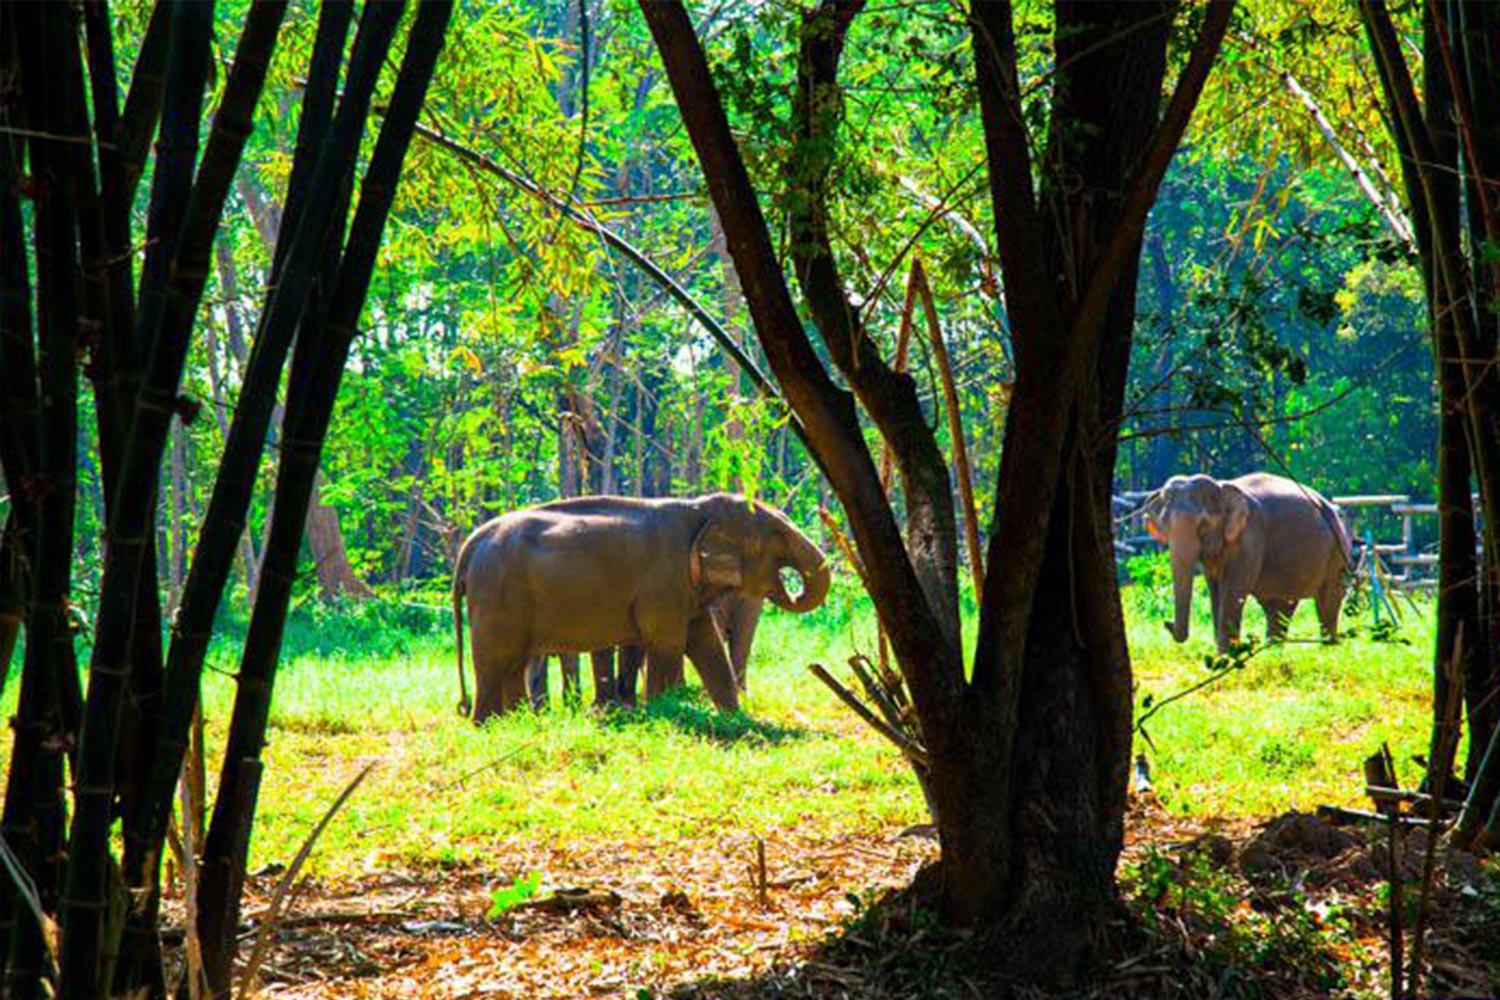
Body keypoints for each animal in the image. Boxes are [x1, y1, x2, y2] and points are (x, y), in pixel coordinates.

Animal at [456, 494, 834, 722]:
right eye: (778, 533)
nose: (790, 589)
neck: (697, 508)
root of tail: (472, 541)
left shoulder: (685, 588)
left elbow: (707, 643)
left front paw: (736, 718)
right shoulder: (664, 580)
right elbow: (668, 643)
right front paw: (667, 708)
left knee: (512, 664)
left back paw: (514, 721)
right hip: (496, 595)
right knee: (494, 660)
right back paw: (486, 725)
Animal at [1140, 473, 1356, 653]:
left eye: (1203, 524)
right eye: (1164, 522)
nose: (1166, 623)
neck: (1221, 487)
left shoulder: (1249, 538)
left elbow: (1232, 591)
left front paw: (1225, 660)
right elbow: (1215, 590)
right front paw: (1223, 658)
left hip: (1338, 551)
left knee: (1327, 604)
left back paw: (1327, 653)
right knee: (1279, 608)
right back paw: (1273, 655)